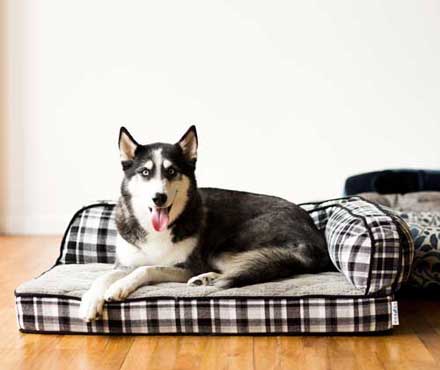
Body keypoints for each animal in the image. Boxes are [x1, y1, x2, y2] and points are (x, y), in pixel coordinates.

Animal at [79, 126, 328, 320]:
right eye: (145, 172)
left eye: (172, 171)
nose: (159, 198)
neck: (155, 231)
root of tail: (313, 233)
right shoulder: (123, 265)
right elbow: (106, 275)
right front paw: (91, 299)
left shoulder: (187, 266)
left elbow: (148, 268)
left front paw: (121, 286)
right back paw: (205, 279)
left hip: (224, 248)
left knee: (242, 265)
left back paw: (207, 277)